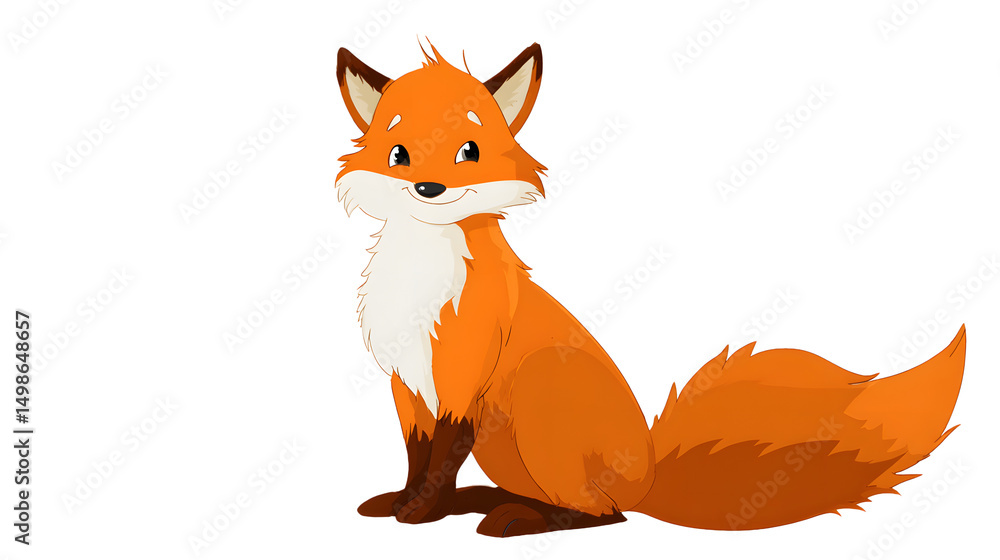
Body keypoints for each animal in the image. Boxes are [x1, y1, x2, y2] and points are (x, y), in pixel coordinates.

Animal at [334, 42, 966, 537]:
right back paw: (488, 502)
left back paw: (518, 519)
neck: (419, 278)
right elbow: (417, 455)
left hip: (541, 389)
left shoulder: (462, 381)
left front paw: (421, 514)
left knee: (605, 515)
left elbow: (441, 458)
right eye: (398, 153)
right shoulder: (408, 383)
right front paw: (405, 503)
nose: (430, 188)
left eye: (469, 151)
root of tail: (648, 478)